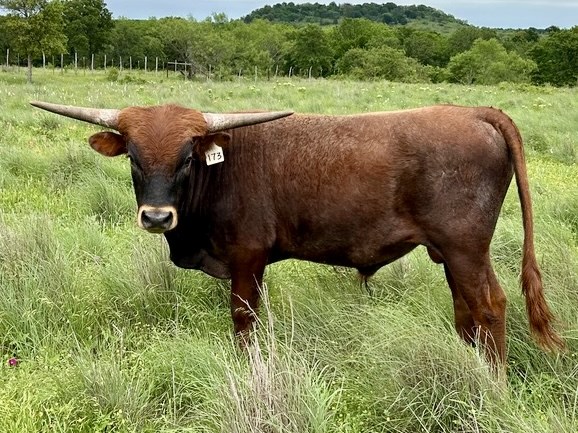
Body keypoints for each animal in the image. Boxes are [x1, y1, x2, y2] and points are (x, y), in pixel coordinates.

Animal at [30, 100, 564, 368]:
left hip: (465, 248)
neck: (221, 170)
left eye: (186, 157)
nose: (158, 217)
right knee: (465, 312)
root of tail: (475, 111)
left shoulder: (247, 259)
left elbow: (244, 323)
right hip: (453, 254)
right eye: (135, 157)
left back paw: (492, 381)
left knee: (489, 307)